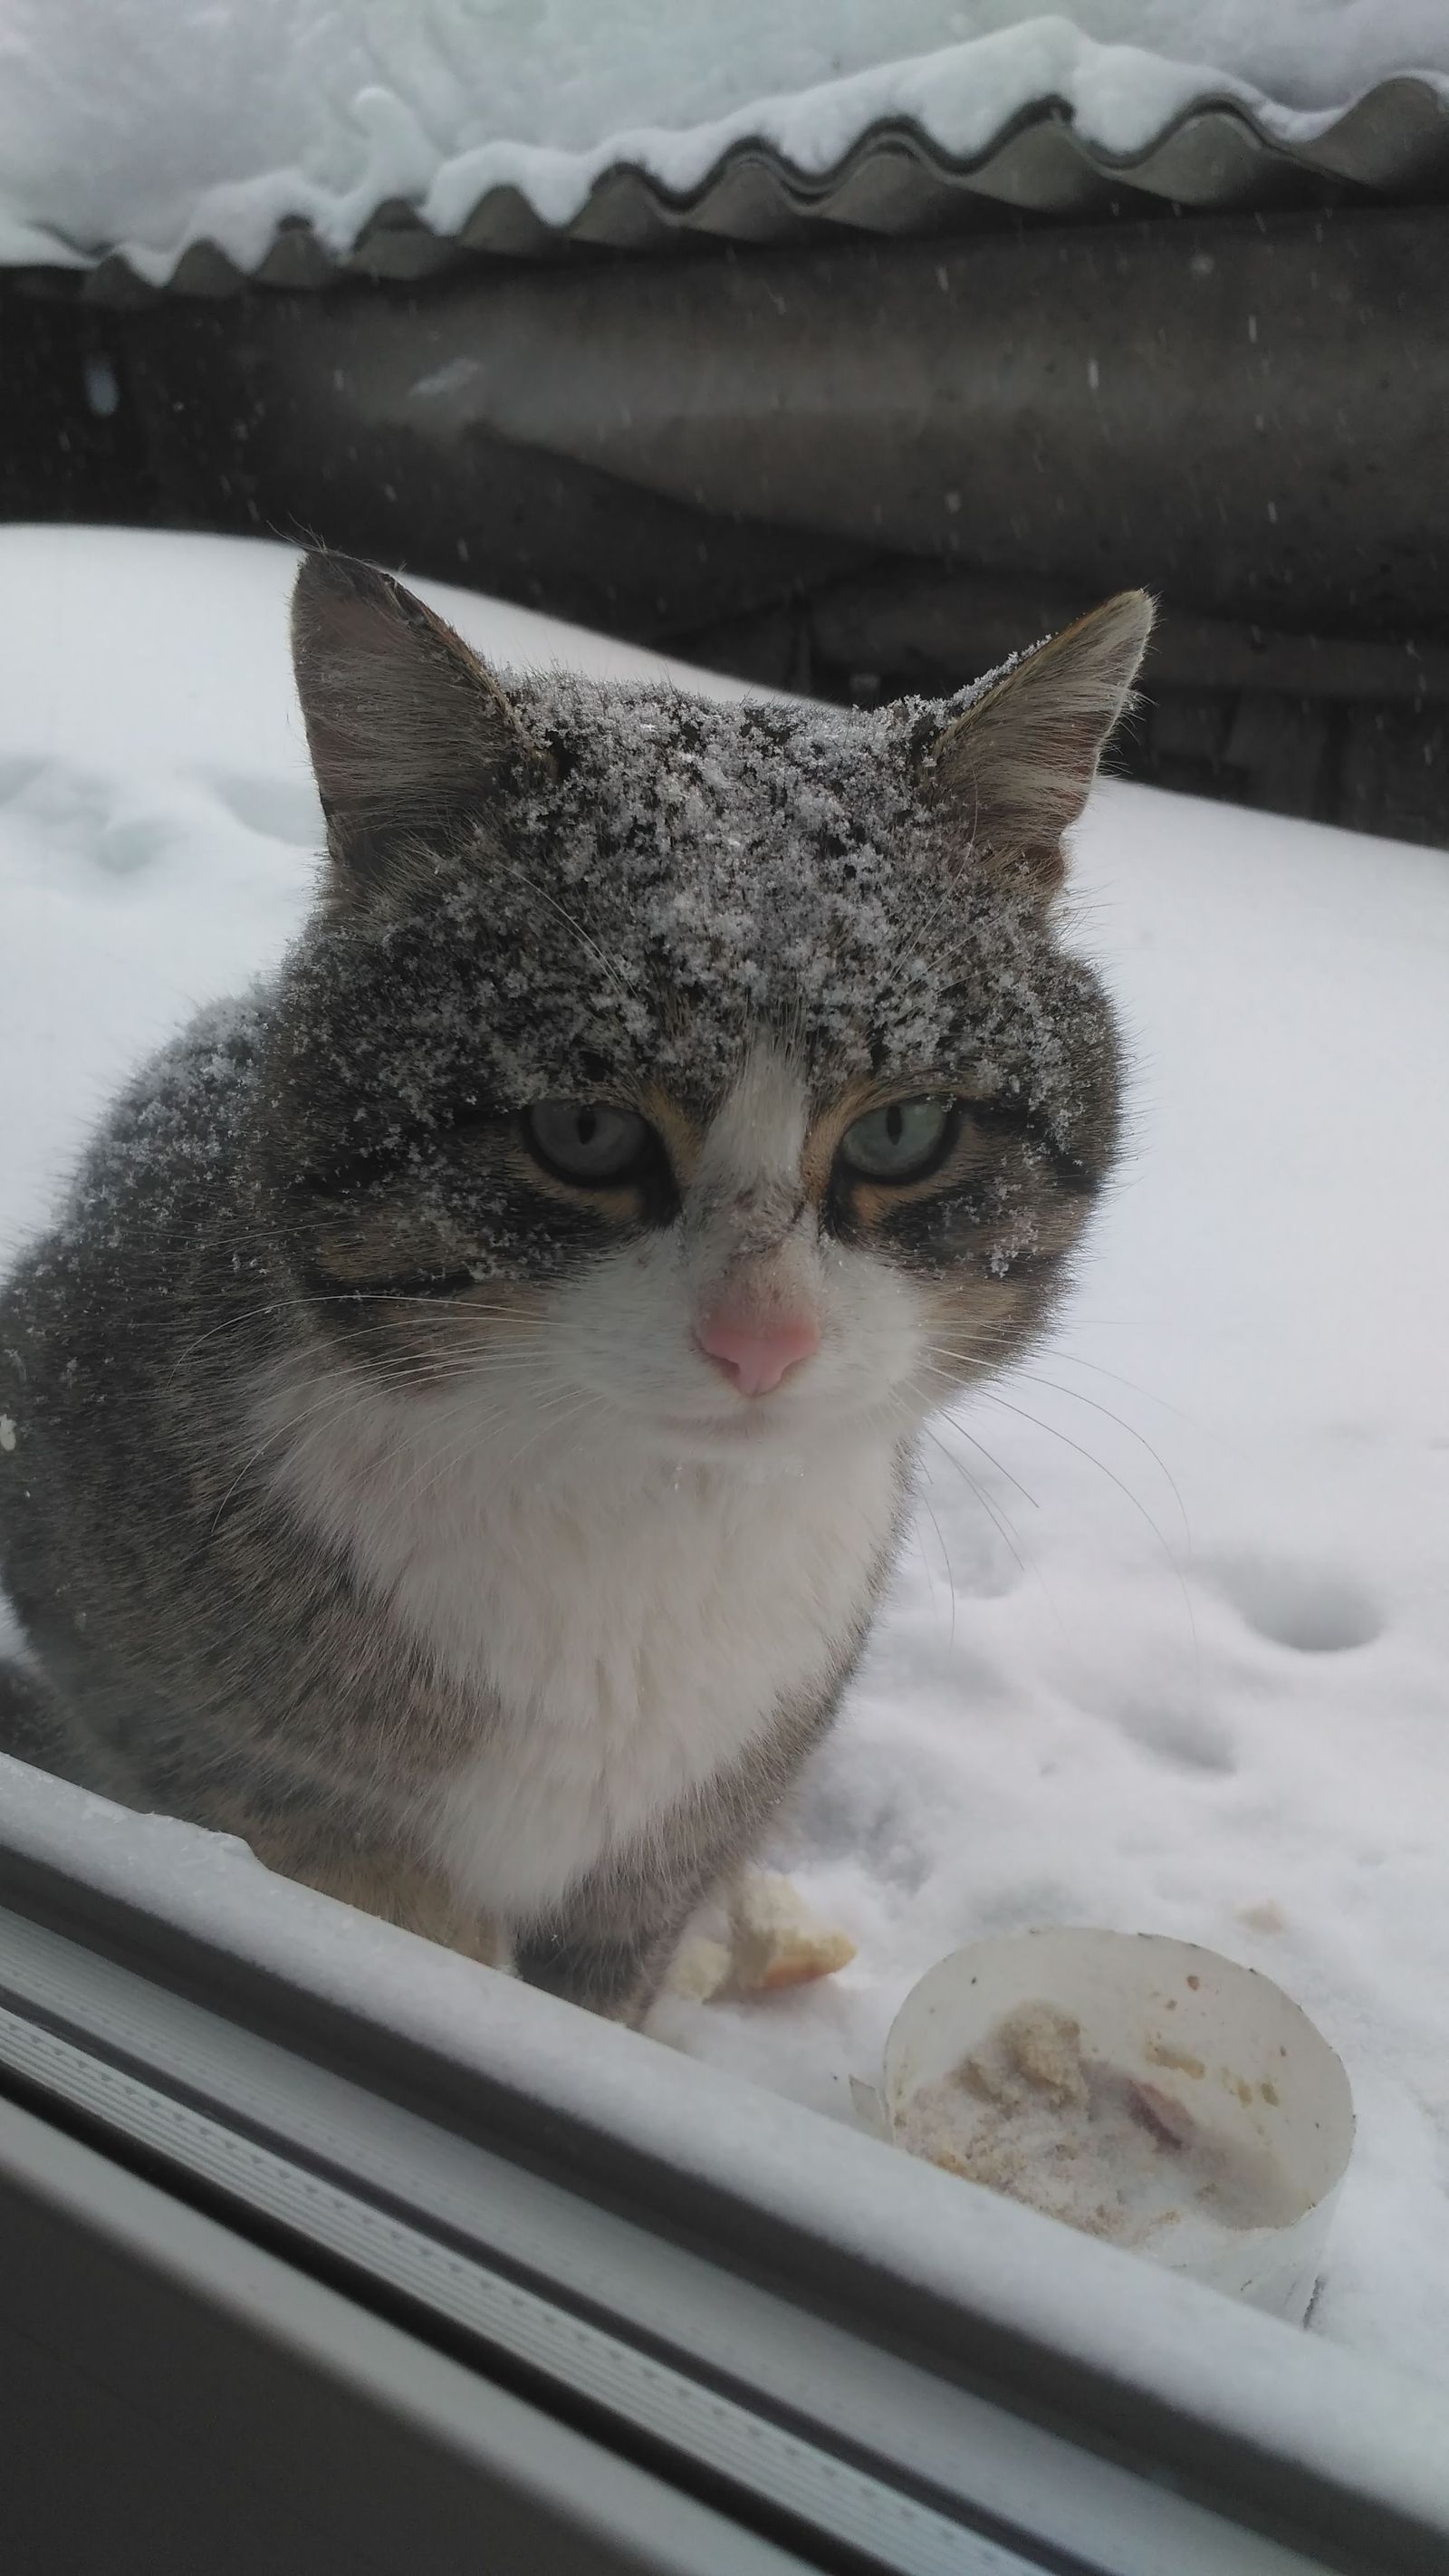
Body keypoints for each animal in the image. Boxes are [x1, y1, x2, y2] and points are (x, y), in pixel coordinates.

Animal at [0, 553, 1157, 2019]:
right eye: (585, 1132)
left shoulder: (673, 1846)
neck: (643, 1537)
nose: (762, 1340)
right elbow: (361, 1885)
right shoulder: (158, 1686)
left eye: (903, 1131)